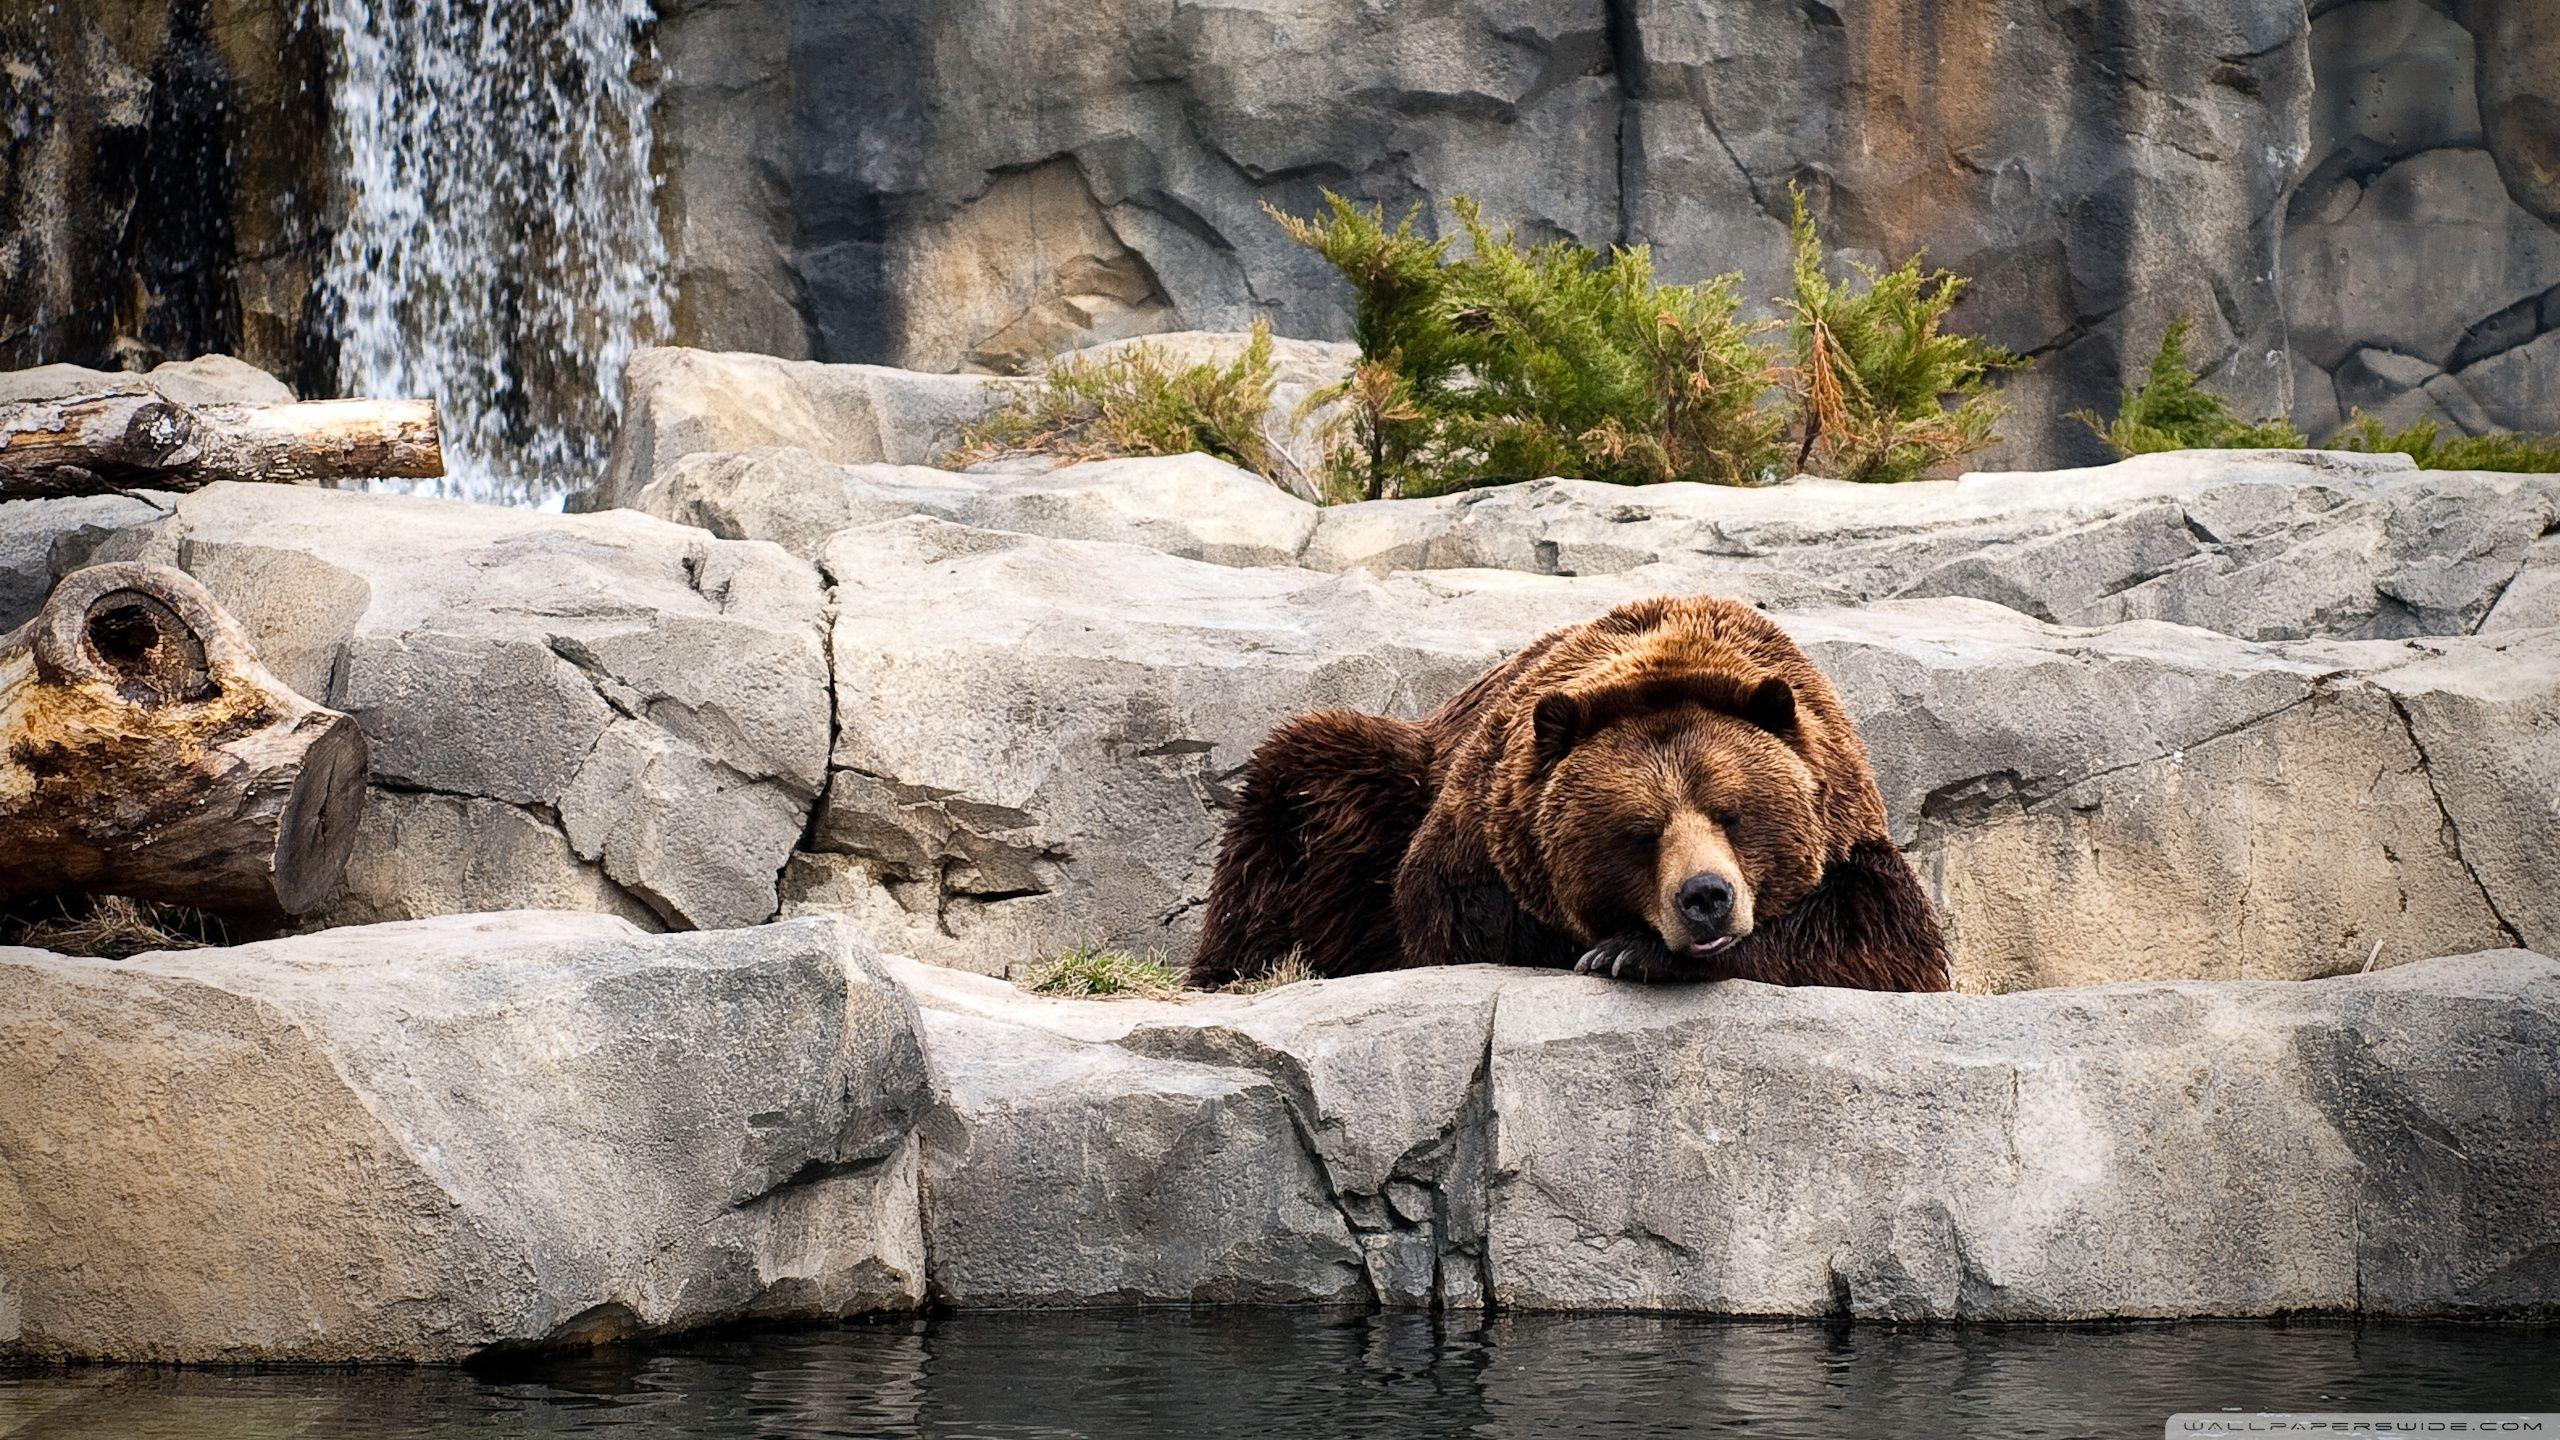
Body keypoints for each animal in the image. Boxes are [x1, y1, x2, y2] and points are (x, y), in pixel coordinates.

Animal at [1189, 594, 1949, 991]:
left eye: (1732, 814)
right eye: (1641, 831)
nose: (1705, 897)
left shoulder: (1847, 824)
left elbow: (1883, 937)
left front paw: (1630, 952)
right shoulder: (1480, 826)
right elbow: (1455, 915)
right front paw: (1614, 947)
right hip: (1382, 784)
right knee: (1300, 789)